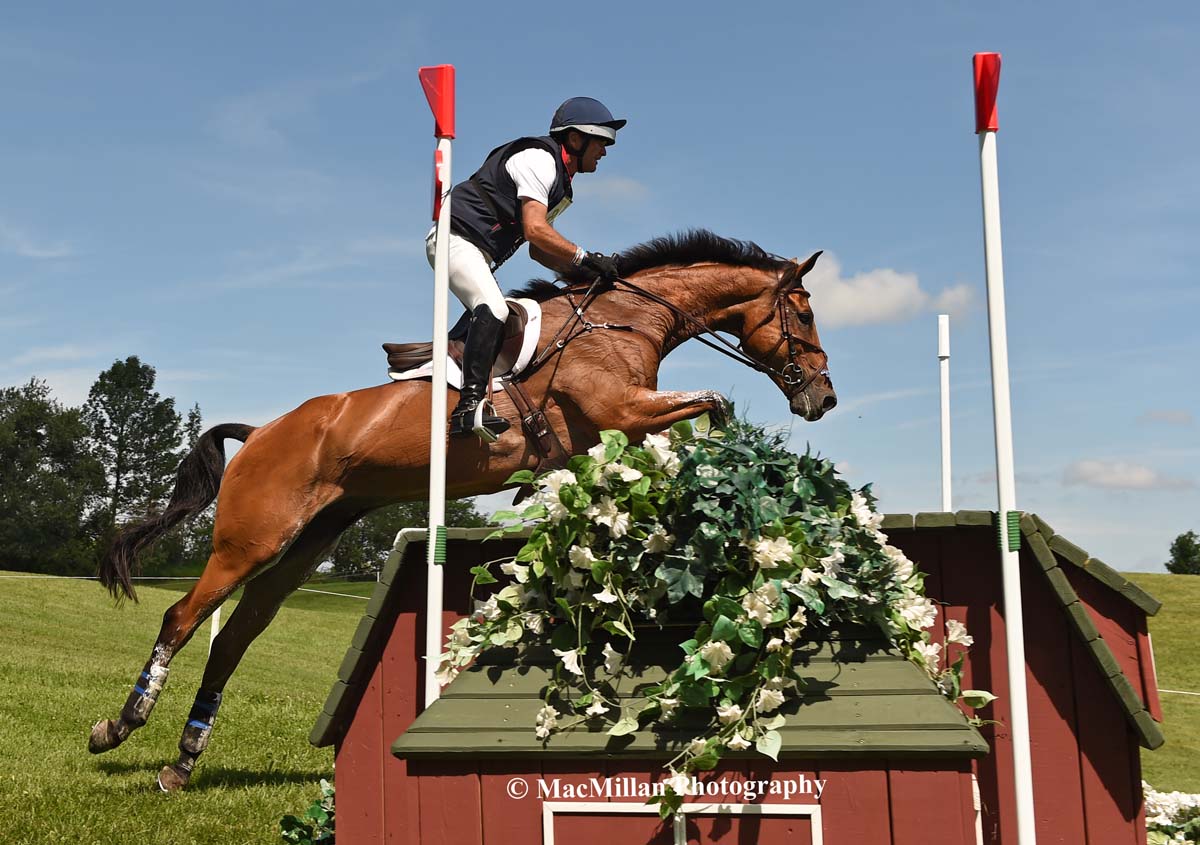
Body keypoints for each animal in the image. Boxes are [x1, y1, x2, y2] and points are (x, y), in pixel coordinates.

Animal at [87, 228, 835, 787]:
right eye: (803, 312)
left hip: (305, 543)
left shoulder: (615, 428)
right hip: (252, 540)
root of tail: (262, 430)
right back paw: (120, 726)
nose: (822, 397)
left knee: (235, 636)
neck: (628, 320)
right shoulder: (620, 409)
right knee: (183, 618)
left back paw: (184, 761)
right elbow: (713, 402)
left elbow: (689, 427)